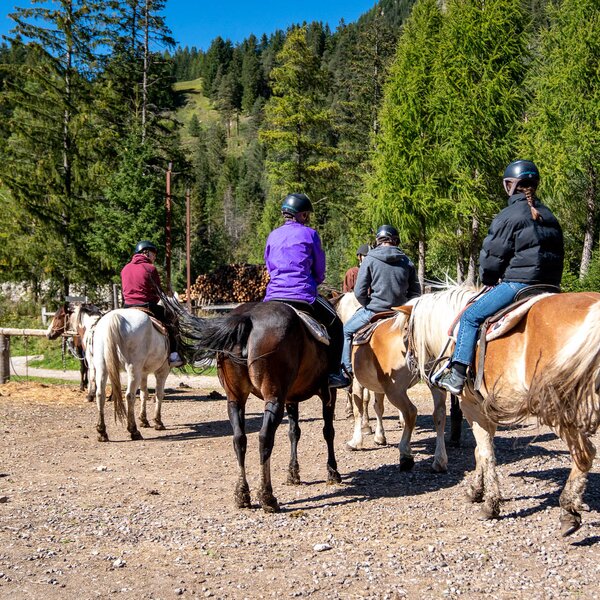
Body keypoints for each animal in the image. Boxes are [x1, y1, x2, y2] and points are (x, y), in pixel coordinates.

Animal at [72, 304, 172, 440]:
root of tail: (114, 318)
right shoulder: (162, 371)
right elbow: (158, 394)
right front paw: (158, 422)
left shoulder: (143, 373)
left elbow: (144, 394)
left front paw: (144, 420)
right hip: (133, 369)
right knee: (129, 396)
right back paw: (133, 430)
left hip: (102, 367)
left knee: (100, 394)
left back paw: (102, 431)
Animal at [164, 296, 342, 510]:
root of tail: (247, 318)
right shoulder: (328, 393)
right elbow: (328, 432)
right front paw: (332, 472)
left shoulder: (291, 398)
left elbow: (294, 432)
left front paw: (293, 474)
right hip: (274, 397)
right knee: (265, 438)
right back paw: (267, 496)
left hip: (235, 398)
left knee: (239, 438)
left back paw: (242, 493)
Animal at [406, 288, 600, 540]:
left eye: (406, 331)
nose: (410, 360)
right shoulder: (484, 408)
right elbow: (479, 451)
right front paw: (476, 490)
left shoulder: (471, 406)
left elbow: (486, 452)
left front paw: (490, 504)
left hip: (557, 408)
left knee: (584, 454)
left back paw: (568, 511)